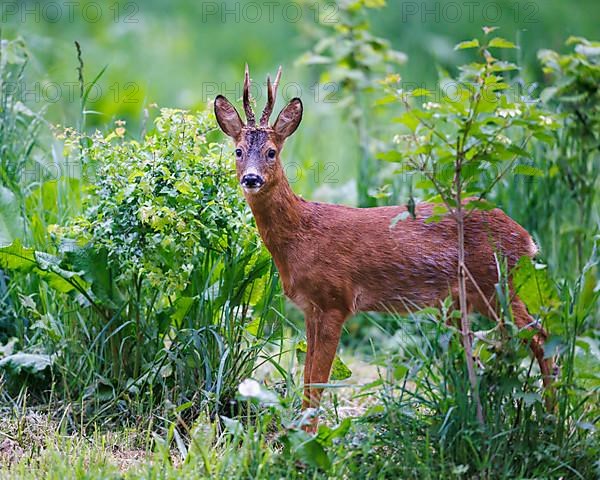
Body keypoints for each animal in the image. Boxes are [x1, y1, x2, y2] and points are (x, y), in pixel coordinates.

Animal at [214, 64, 552, 432]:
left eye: (272, 152)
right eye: (238, 151)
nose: (251, 179)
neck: (301, 236)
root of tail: (525, 238)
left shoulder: (336, 299)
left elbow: (317, 381)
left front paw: (309, 438)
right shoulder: (310, 308)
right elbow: (306, 379)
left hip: (496, 280)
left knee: (540, 335)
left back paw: (554, 416)